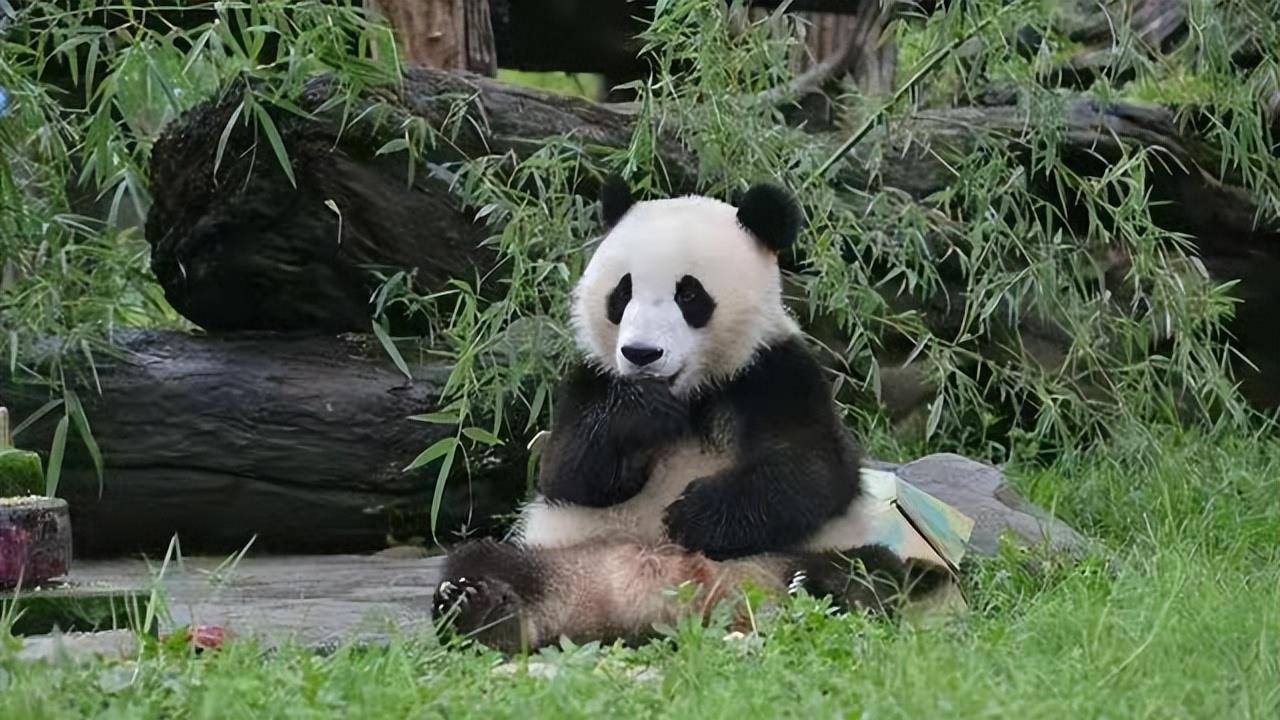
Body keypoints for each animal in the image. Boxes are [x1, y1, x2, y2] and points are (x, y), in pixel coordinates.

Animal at [432, 176, 952, 648]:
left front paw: (691, 513)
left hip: (807, 550)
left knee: (879, 569)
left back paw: (826, 590)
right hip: (567, 555)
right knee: (483, 562)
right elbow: (565, 469)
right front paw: (640, 415)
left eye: (689, 294)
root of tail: (681, 600)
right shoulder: (590, 378)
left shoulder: (776, 370)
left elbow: (814, 469)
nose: (641, 353)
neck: (692, 392)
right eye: (622, 293)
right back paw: (480, 607)